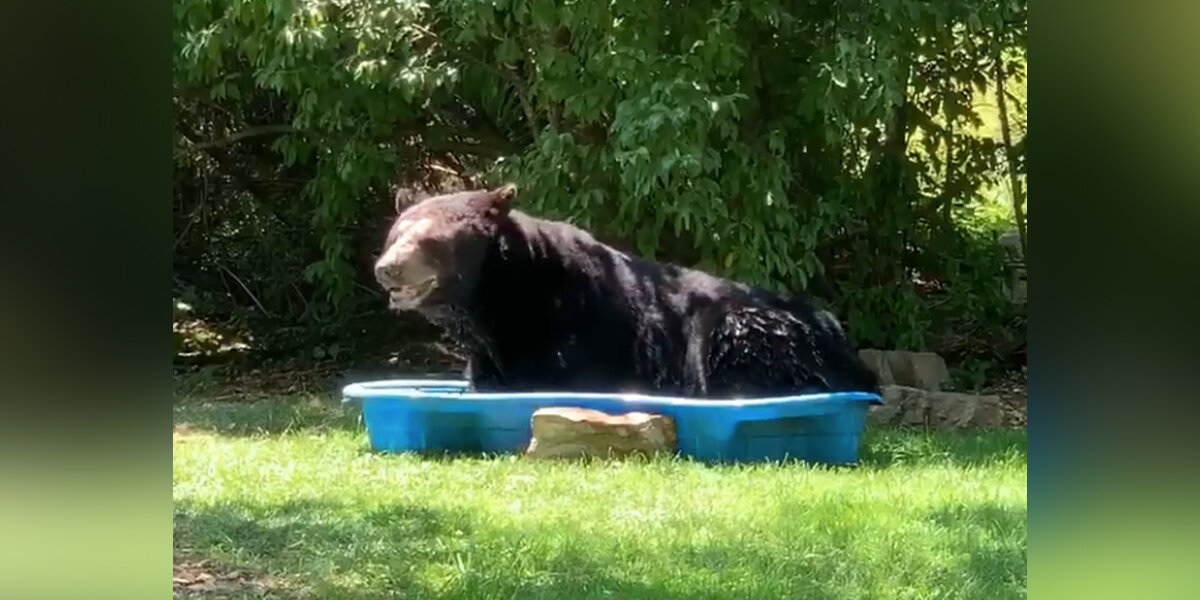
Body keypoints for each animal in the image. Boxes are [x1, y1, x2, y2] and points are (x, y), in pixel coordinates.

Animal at [374, 183, 883, 398]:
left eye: (430, 239)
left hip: (748, 324)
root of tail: (838, 332)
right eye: (397, 233)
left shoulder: (577, 326)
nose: (386, 269)